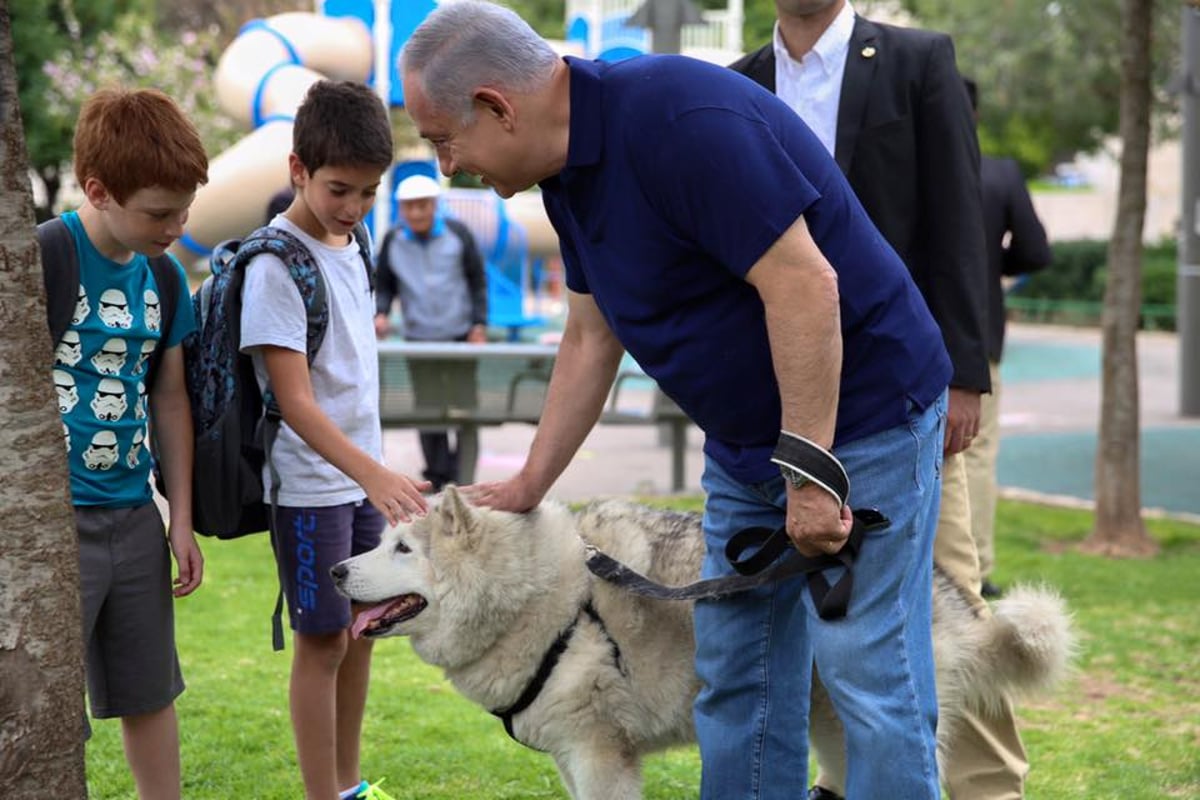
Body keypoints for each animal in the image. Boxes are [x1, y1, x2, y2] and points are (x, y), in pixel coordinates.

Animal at [333, 489, 1075, 800]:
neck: (543, 596)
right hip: (826, 724)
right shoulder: (572, 757)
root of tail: (948, 591)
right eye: (381, 541)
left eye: (402, 550)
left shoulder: (600, 755)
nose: (338, 570)